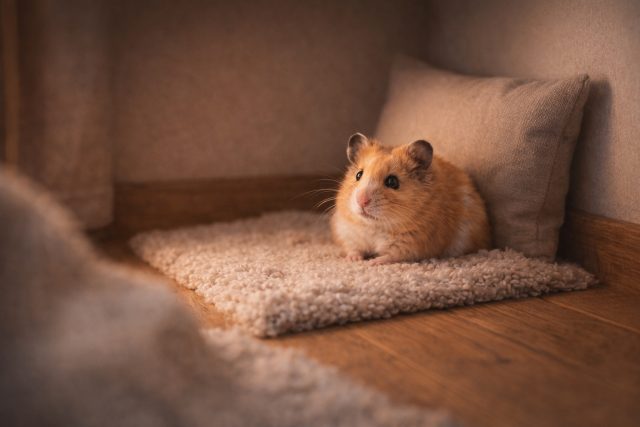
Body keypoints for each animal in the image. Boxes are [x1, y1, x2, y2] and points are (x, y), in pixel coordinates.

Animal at [331, 133, 491, 264]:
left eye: (392, 182)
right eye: (358, 175)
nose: (361, 201)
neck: (376, 225)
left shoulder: (412, 244)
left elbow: (391, 256)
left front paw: (373, 262)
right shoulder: (347, 232)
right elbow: (354, 248)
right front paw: (353, 259)